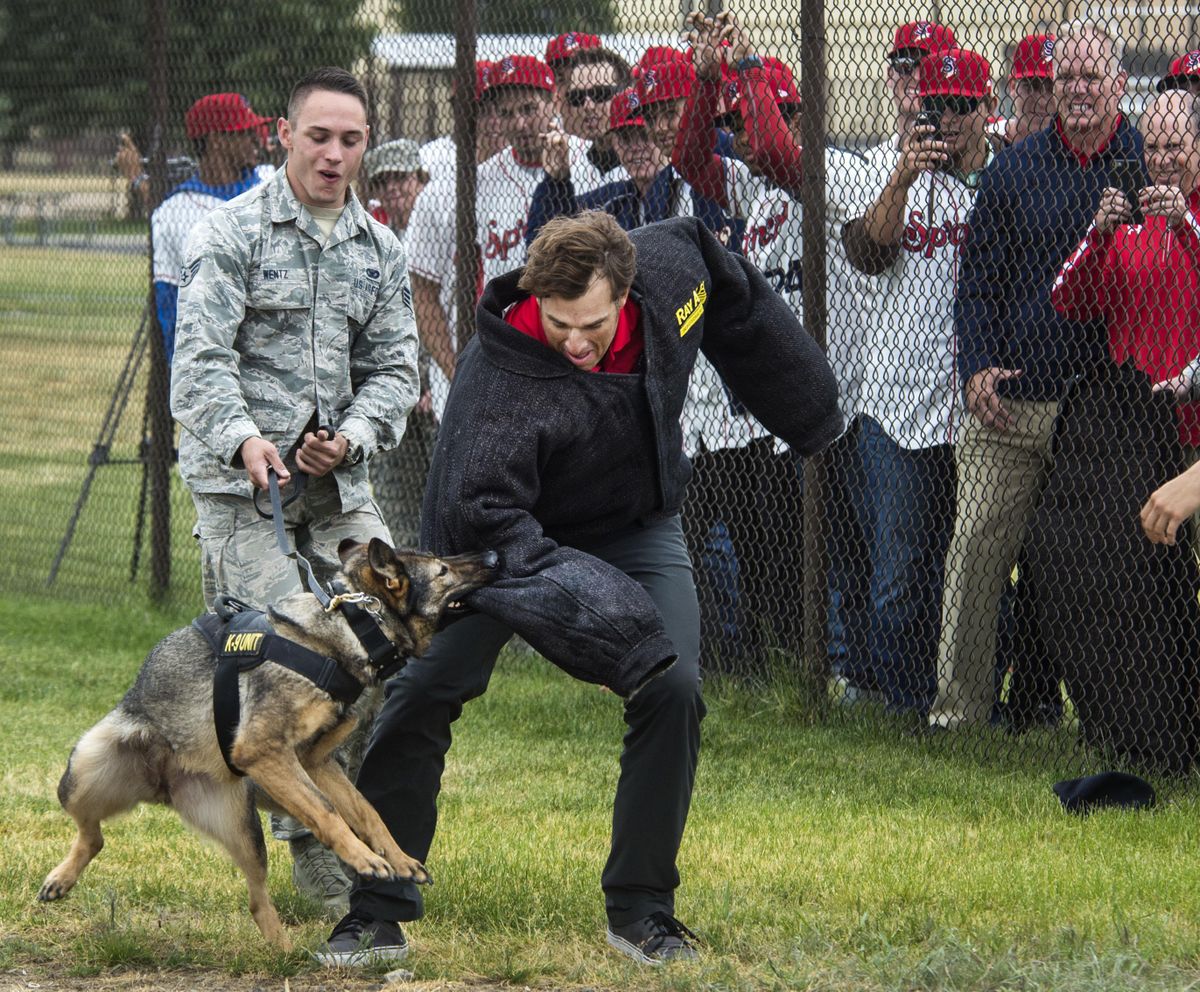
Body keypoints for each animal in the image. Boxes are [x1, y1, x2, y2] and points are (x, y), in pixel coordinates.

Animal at [37, 539, 496, 950]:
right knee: (92, 834)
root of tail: (163, 788)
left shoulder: (315, 762)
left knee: (256, 900)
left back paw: (284, 953)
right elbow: (328, 813)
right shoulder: (264, 752)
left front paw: (398, 858)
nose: (493, 556)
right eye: (443, 569)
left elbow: (366, 811)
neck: (352, 625)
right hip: (84, 769)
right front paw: (364, 859)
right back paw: (60, 878)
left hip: (245, 833)